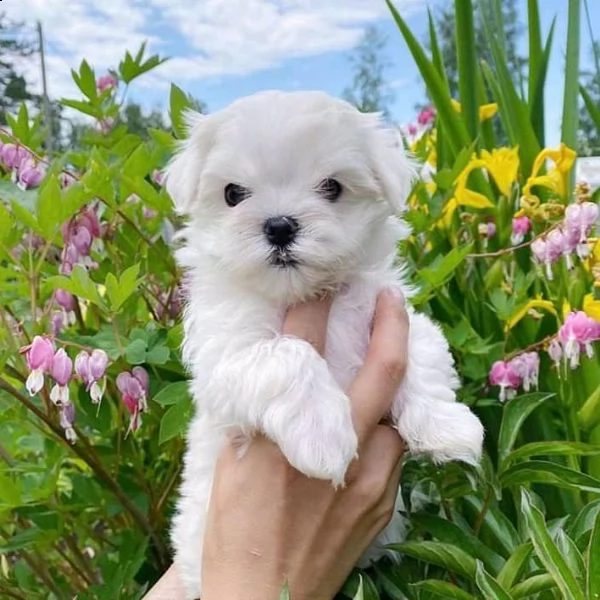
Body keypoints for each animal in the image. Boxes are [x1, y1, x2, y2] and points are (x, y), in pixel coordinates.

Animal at [166, 90, 486, 600]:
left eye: (332, 187)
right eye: (233, 194)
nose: (279, 225)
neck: (306, 295)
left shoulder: (396, 314)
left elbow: (423, 354)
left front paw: (447, 428)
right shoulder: (225, 357)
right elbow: (290, 353)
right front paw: (323, 435)